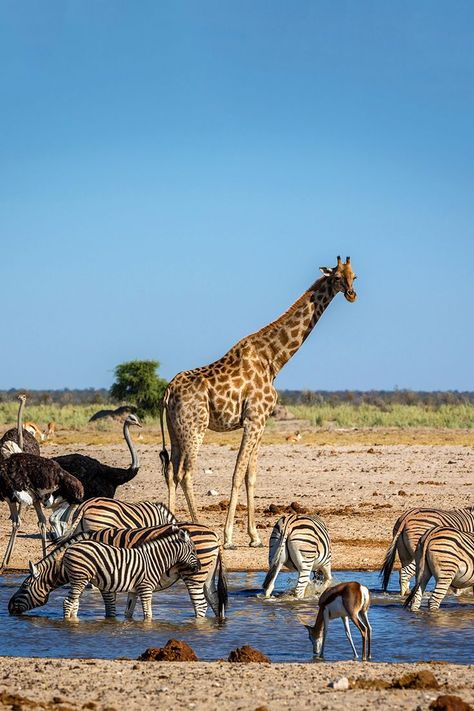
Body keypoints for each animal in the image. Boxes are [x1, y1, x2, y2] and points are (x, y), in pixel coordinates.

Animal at [8, 524, 228, 620]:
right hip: (206, 577)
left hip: (194, 576)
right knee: (216, 602)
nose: (9, 608)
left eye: (24, 586)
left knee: (200, 606)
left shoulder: (106, 580)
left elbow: (110, 609)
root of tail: (215, 535)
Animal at [161, 258, 358, 552]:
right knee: (185, 473)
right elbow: (237, 472)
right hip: (194, 427)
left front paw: (254, 536)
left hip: (176, 431)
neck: (273, 360)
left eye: (354, 276)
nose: (352, 294)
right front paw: (229, 537)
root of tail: (168, 390)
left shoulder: (261, 423)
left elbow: (250, 476)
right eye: (336, 277)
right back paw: (200, 526)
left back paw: (172, 525)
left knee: (171, 471)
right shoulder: (253, 419)